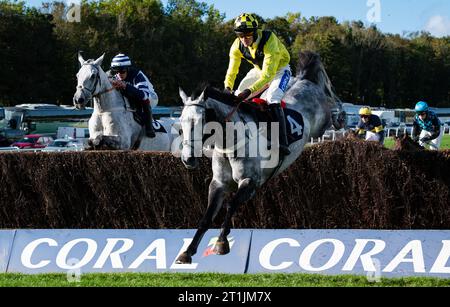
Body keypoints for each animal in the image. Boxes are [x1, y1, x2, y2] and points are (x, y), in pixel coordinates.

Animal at [178, 51, 346, 264]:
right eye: (181, 123)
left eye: (200, 122)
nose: (188, 159)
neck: (231, 142)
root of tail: (304, 80)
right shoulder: (219, 183)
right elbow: (206, 217)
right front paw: (187, 251)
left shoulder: (251, 182)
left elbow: (231, 205)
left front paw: (221, 242)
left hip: (321, 121)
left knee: (331, 100)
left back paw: (341, 115)